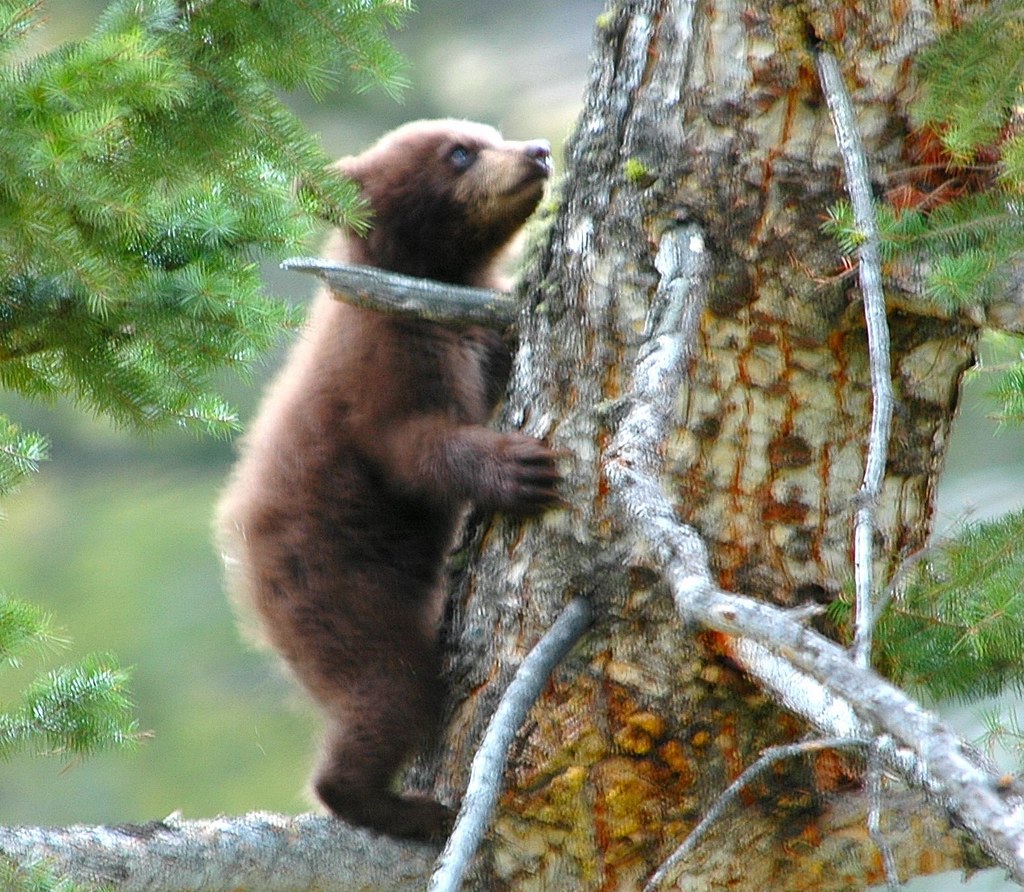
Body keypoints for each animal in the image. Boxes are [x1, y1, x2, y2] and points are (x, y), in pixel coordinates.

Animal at [215, 119, 561, 842]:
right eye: (458, 152)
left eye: (489, 134)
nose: (538, 151)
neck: (424, 286)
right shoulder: (382, 359)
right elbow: (413, 446)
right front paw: (518, 468)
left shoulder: (469, 334)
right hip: (341, 594)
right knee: (388, 692)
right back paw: (405, 808)